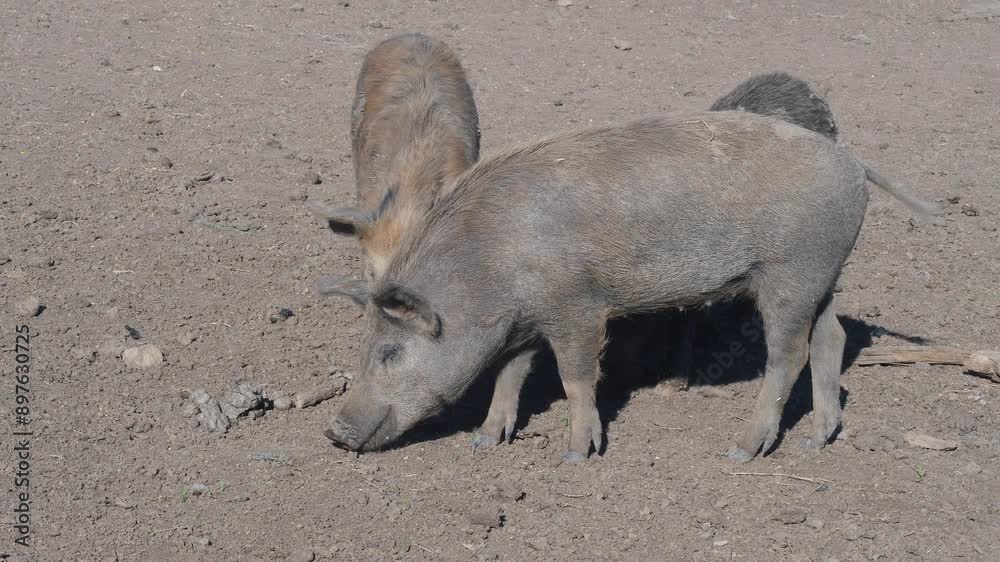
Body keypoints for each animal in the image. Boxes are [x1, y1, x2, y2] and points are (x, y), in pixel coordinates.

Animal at [316, 109, 936, 462]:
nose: (334, 431)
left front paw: (575, 456)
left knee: (790, 355)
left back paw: (742, 451)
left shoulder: (577, 308)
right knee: (831, 339)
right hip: (822, 276)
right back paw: (817, 439)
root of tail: (853, 162)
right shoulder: (527, 321)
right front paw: (484, 442)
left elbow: (575, 378)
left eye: (390, 351)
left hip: (789, 274)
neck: (489, 269)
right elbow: (508, 376)